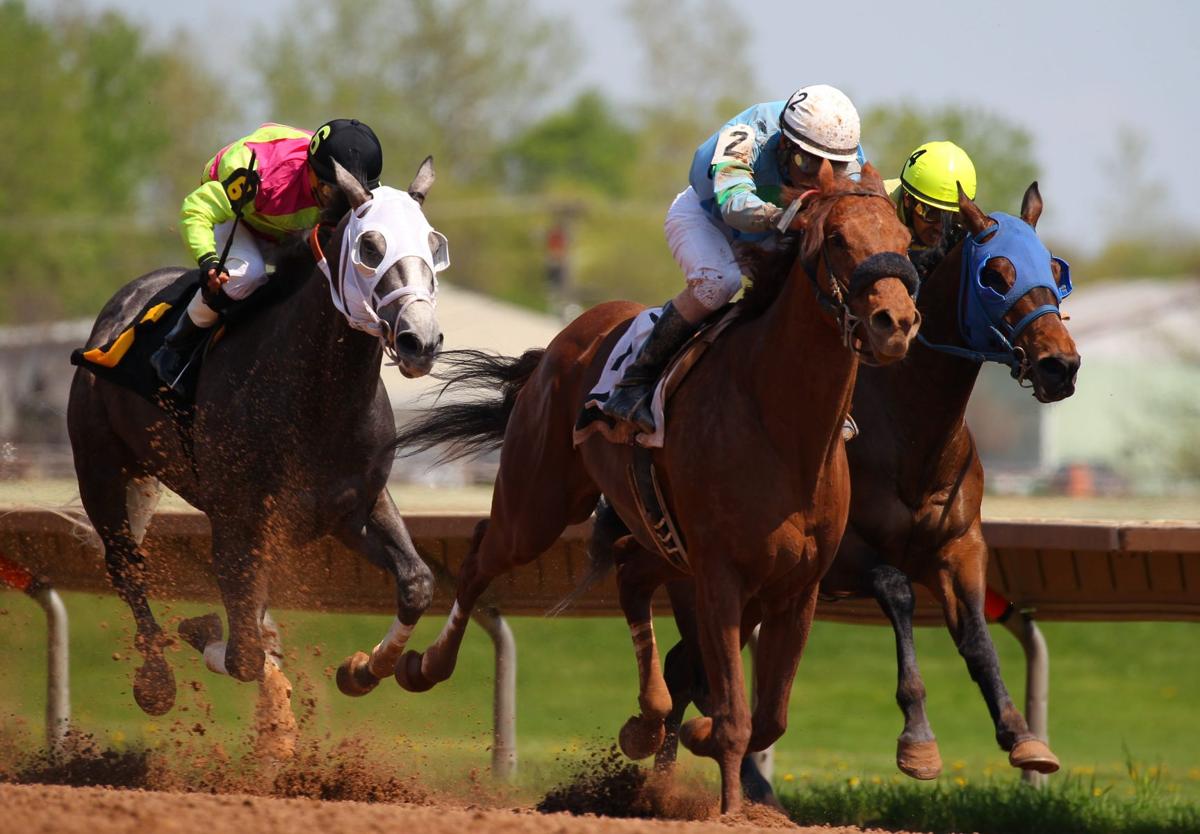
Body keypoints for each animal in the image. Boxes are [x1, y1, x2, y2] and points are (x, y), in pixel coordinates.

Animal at [66, 162, 451, 720]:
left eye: (433, 244)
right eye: (371, 247)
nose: (420, 341)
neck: (314, 396)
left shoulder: (353, 506)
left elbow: (417, 583)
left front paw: (362, 669)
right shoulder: (237, 521)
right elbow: (244, 653)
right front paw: (203, 629)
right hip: (100, 468)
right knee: (125, 566)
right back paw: (155, 680)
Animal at [379, 163, 921, 816]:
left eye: (906, 238)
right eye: (838, 238)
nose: (897, 323)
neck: (783, 425)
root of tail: (562, 340)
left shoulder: (799, 585)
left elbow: (767, 717)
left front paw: (696, 738)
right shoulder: (721, 576)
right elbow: (737, 715)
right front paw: (730, 809)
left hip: (659, 538)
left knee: (631, 576)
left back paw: (646, 721)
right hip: (538, 507)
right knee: (485, 551)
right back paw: (419, 666)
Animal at [657, 181, 1080, 796]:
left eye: (1052, 268)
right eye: (996, 274)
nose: (1060, 365)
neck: (911, 427)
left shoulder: (960, 545)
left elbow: (977, 636)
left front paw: (1022, 735)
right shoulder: (840, 558)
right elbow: (897, 590)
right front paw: (919, 742)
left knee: (689, 670)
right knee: (693, 671)